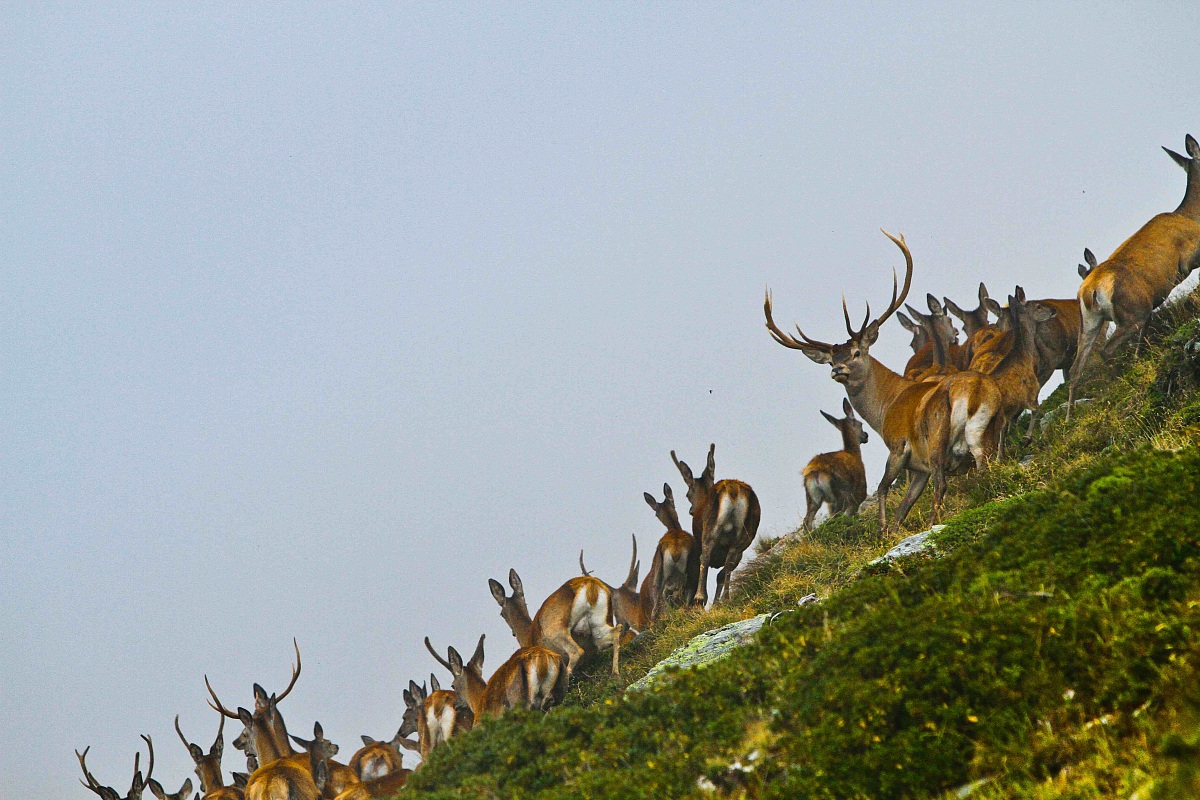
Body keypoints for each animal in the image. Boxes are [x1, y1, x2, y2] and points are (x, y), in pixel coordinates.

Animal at [425, 635, 567, 724]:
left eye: (453, 685)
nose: (455, 704)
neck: (477, 703)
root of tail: (543, 661)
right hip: (556, 696)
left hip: (520, 700)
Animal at [487, 569, 627, 678]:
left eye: (502, 614)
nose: (513, 633)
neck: (528, 636)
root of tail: (590, 586)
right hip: (598, 626)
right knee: (616, 631)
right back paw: (615, 673)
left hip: (556, 631)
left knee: (576, 651)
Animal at [670, 444, 761, 606]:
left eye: (687, 494)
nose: (691, 510)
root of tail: (733, 490)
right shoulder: (740, 554)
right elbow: (721, 574)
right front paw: (717, 603)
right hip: (744, 535)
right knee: (729, 561)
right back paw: (726, 597)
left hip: (710, 529)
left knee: (705, 556)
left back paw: (700, 597)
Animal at [801, 398, 869, 532]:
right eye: (861, 424)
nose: (866, 436)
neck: (853, 453)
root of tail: (816, 473)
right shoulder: (859, 493)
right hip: (839, 495)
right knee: (834, 517)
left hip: (812, 497)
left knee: (807, 521)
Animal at [1067, 134, 1200, 417]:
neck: (1193, 217)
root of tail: (1090, 290)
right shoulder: (1188, 259)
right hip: (1132, 310)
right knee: (1107, 350)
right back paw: (1119, 383)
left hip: (1090, 322)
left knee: (1076, 368)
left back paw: (1069, 418)